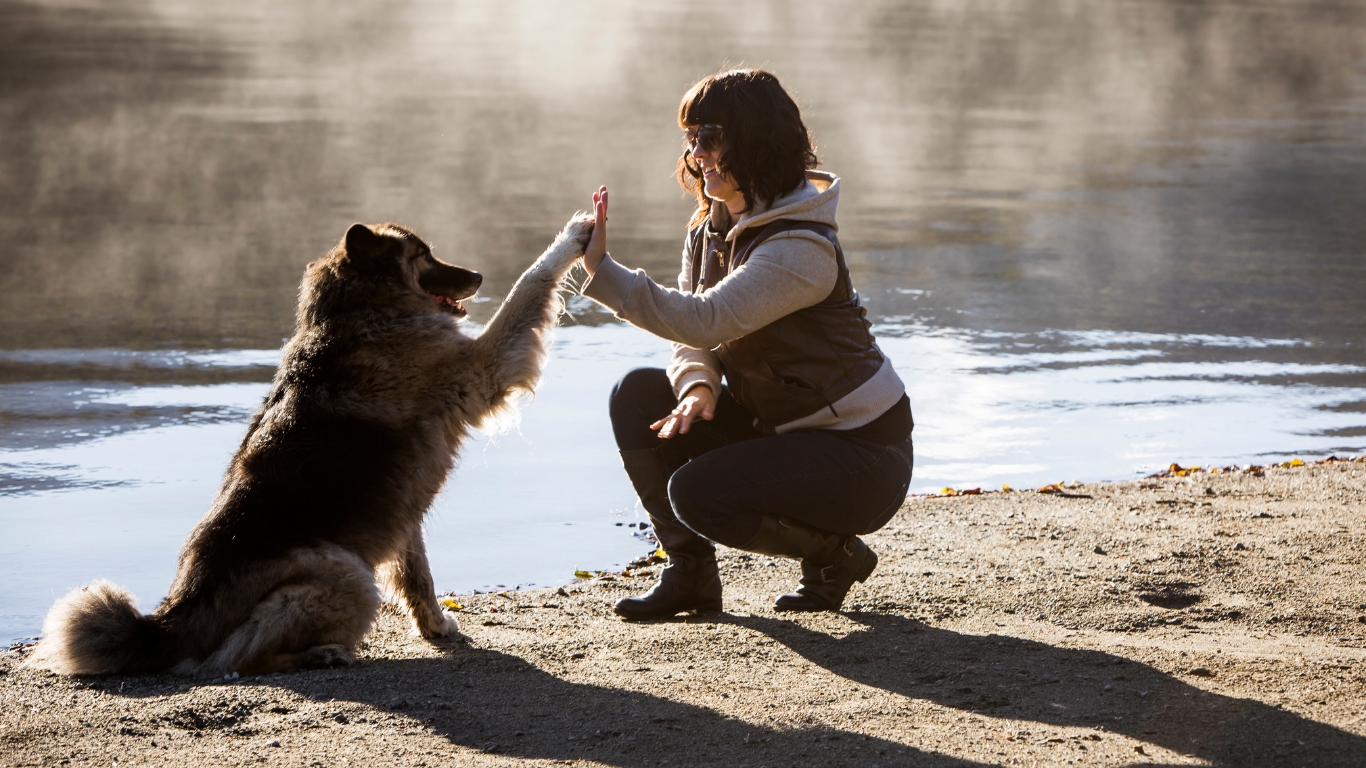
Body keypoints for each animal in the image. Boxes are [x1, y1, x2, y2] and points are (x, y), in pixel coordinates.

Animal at [29, 211, 595, 672]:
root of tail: (170, 621)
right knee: (232, 659)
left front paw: (435, 626)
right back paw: (317, 655)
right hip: (347, 572)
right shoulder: (482, 368)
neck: (359, 312)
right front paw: (574, 234)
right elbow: (532, 281)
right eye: (422, 257)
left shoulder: (402, 512)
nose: (476, 277)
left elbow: (419, 577)